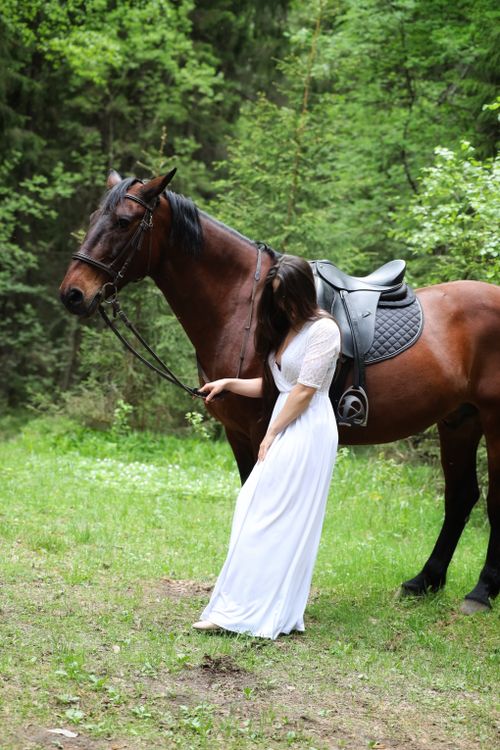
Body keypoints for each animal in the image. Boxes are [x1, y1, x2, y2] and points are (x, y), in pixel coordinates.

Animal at [59, 170, 500, 615]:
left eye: (124, 222)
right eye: (95, 216)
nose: (72, 293)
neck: (245, 308)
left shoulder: (261, 427)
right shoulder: (237, 432)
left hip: (492, 421)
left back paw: (481, 592)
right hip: (459, 420)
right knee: (461, 497)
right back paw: (425, 581)